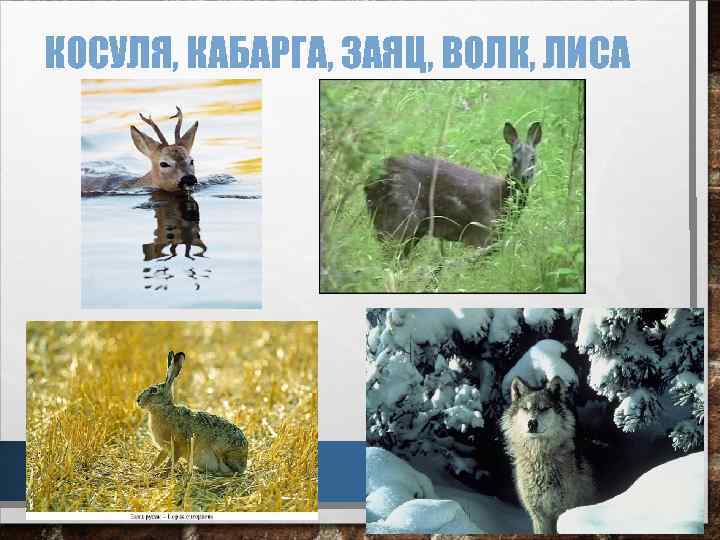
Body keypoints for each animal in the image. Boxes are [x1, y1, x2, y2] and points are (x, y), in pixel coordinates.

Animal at [501, 376, 596, 534]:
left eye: (544, 408)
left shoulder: (562, 511)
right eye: (526, 409)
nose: (532, 423)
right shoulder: (539, 515)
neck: (539, 459)